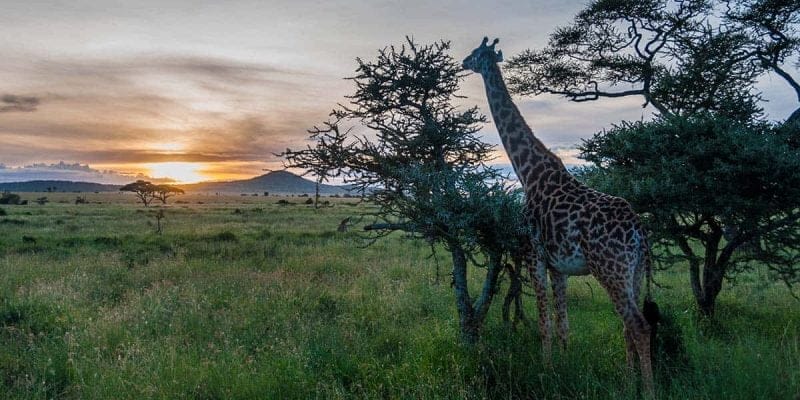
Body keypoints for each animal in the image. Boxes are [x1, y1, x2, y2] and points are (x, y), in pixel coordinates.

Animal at [463, 37, 655, 393]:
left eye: (476, 54)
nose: (462, 62)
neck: (528, 173)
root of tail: (639, 232)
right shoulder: (559, 267)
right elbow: (563, 322)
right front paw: (566, 367)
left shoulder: (533, 255)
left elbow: (544, 322)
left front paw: (547, 370)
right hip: (634, 272)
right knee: (629, 324)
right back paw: (627, 381)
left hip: (611, 270)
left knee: (637, 325)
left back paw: (646, 390)